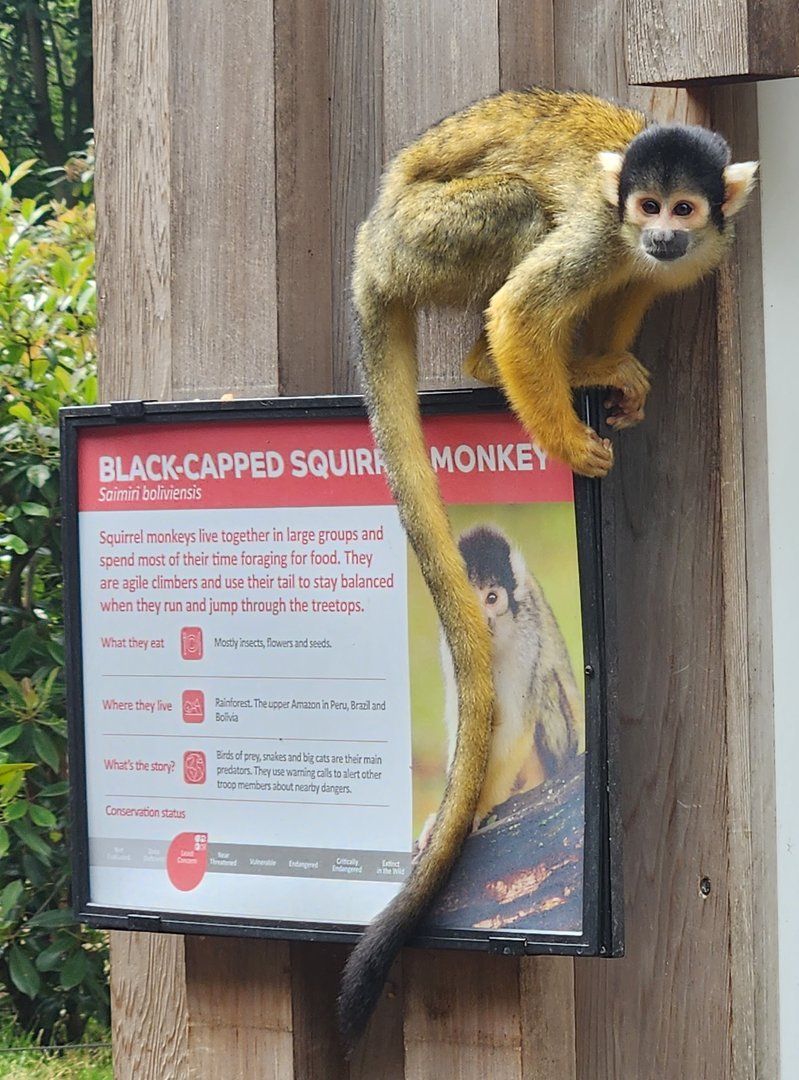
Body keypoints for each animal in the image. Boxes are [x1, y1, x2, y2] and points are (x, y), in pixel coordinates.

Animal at [337, 87, 758, 1049]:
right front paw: (567, 437)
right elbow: (527, 310)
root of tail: (369, 242)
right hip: (426, 241)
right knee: (523, 227)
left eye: (685, 210)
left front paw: (602, 363)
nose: (661, 235)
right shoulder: (602, 232)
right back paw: (492, 365)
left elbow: (636, 284)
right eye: (648, 204)